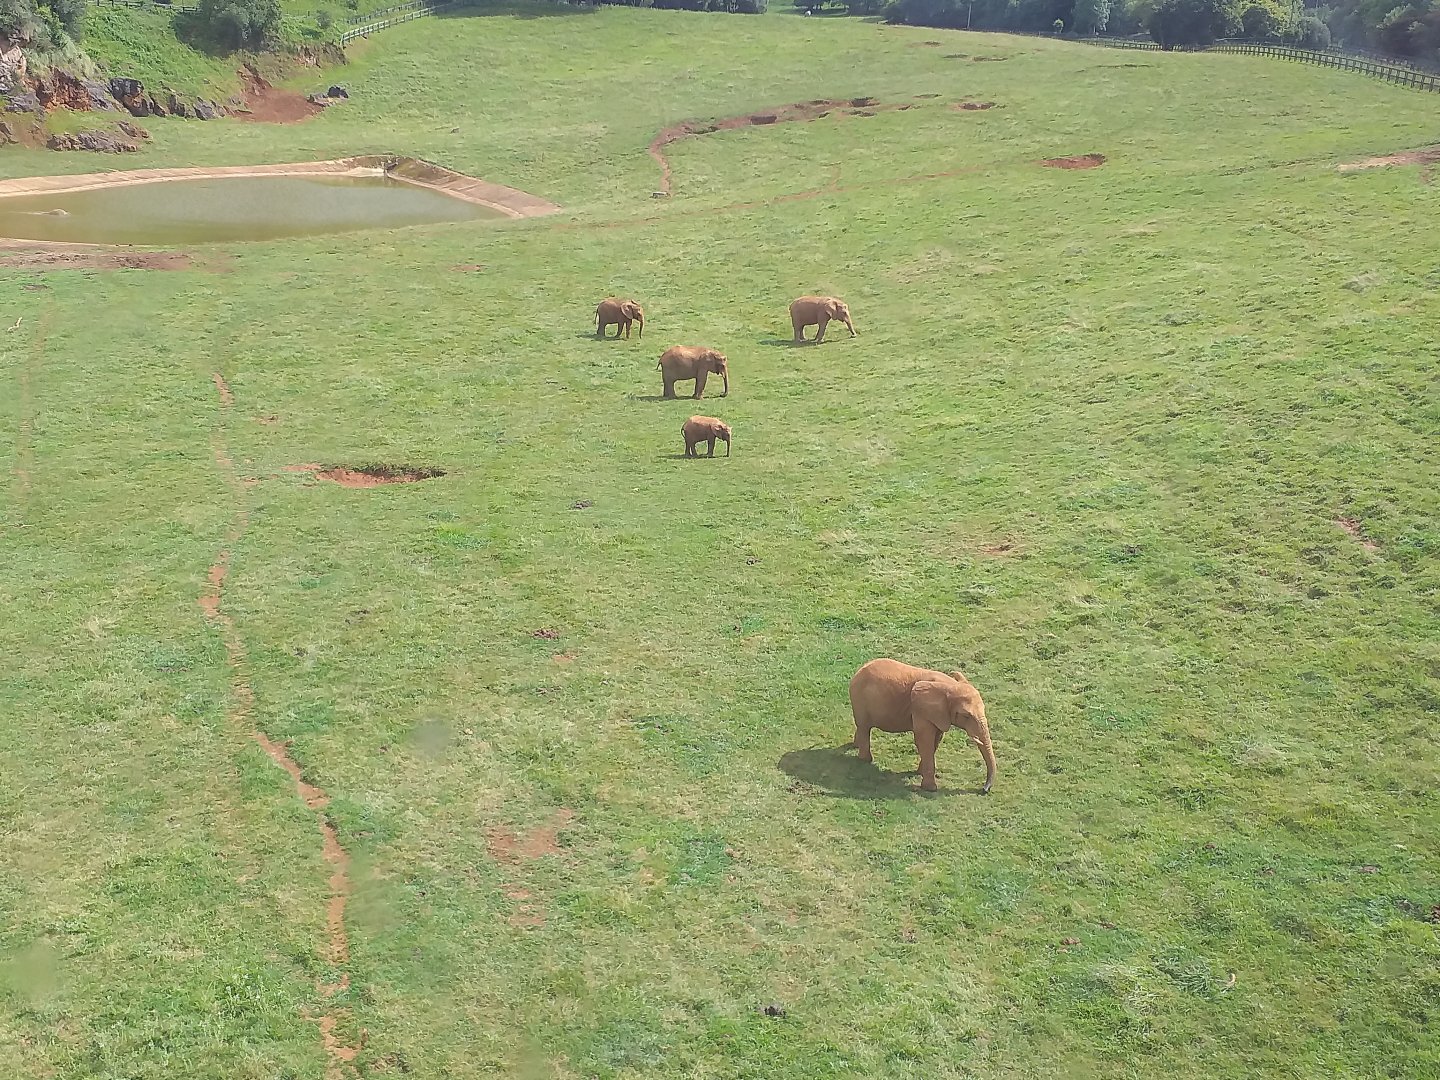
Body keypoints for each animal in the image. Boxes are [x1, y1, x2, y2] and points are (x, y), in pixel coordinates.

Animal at [848, 658, 996, 793]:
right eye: (966, 716)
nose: (984, 790)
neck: (950, 685)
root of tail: (860, 669)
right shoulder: (920, 709)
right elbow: (924, 741)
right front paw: (930, 789)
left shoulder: (939, 714)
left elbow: (936, 739)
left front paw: (919, 773)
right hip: (859, 698)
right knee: (864, 727)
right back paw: (865, 760)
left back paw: (855, 746)